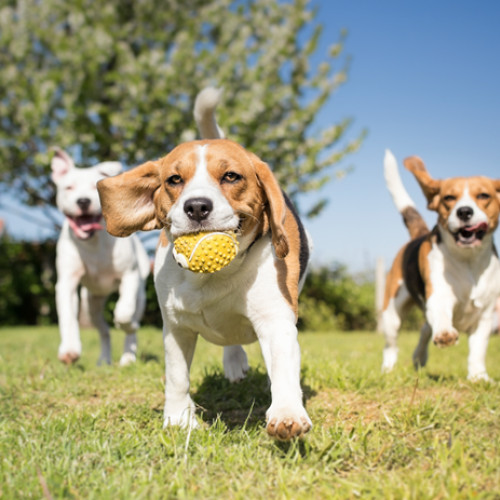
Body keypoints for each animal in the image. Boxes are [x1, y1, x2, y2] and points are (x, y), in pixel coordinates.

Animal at [52, 150, 152, 366]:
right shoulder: (66, 283)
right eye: (69, 187)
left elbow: (123, 312)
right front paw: (69, 350)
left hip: (140, 294)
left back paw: (128, 357)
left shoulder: (129, 276)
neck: (93, 242)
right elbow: (67, 317)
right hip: (91, 304)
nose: (83, 201)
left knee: (131, 323)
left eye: (94, 187)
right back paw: (104, 360)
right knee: (104, 331)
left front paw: (126, 323)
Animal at [96, 90, 312, 442]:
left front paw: (286, 413)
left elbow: (282, 369)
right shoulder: (175, 327)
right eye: (174, 180)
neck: (212, 277)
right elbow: (177, 376)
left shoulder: (275, 320)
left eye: (231, 176)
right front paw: (178, 419)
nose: (197, 206)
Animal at [382, 150, 500, 380]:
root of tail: (419, 235)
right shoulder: (439, 295)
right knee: (391, 345)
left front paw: (478, 377)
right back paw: (388, 369)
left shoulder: (485, 314)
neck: (468, 260)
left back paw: (419, 357)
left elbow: (478, 349)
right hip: (391, 313)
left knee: (425, 329)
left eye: (483, 195)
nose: (464, 211)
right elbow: (442, 316)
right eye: (449, 198)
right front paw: (445, 334)